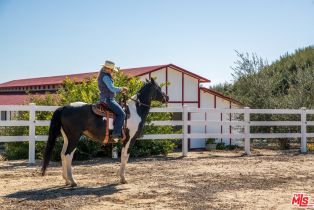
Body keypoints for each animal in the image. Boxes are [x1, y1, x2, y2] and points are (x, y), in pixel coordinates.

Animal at [41, 78, 169, 186]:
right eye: (158, 87)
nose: (167, 97)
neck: (134, 111)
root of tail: (64, 108)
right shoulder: (130, 139)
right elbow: (125, 156)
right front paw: (123, 179)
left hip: (67, 138)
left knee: (62, 154)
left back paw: (66, 180)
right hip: (74, 138)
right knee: (68, 155)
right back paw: (73, 181)